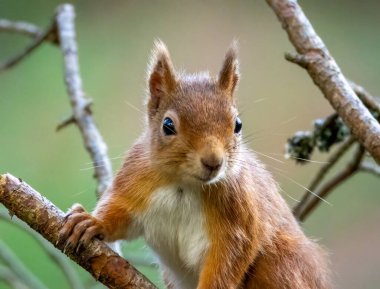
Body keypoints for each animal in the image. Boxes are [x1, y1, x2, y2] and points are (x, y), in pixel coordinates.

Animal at [58, 40, 330, 288]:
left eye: (238, 124)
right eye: (168, 125)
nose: (213, 162)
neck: (184, 183)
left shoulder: (237, 220)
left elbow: (227, 262)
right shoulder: (135, 180)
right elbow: (120, 215)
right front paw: (91, 222)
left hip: (284, 264)